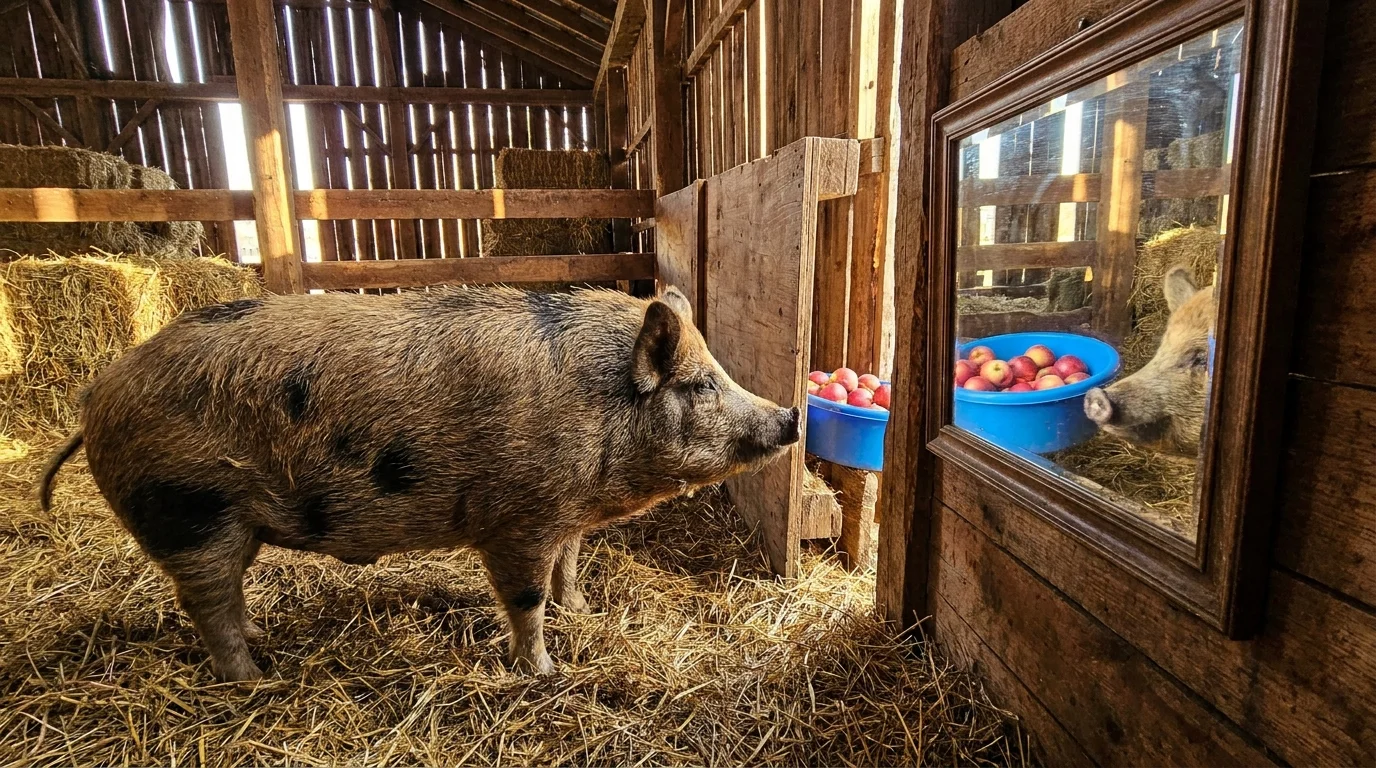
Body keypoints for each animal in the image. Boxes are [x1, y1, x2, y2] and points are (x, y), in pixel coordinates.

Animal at [37, 285, 800, 681]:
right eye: (700, 384)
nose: (791, 416)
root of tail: (97, 393)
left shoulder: (564, 516)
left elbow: (570, 567)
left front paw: (583, 613)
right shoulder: (518, 520)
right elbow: (525, 599)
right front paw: (545, 673)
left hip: (227, 521)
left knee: (228, 596)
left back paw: (262, 641)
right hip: (189, 511)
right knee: (204, 603)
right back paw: (254, 677)